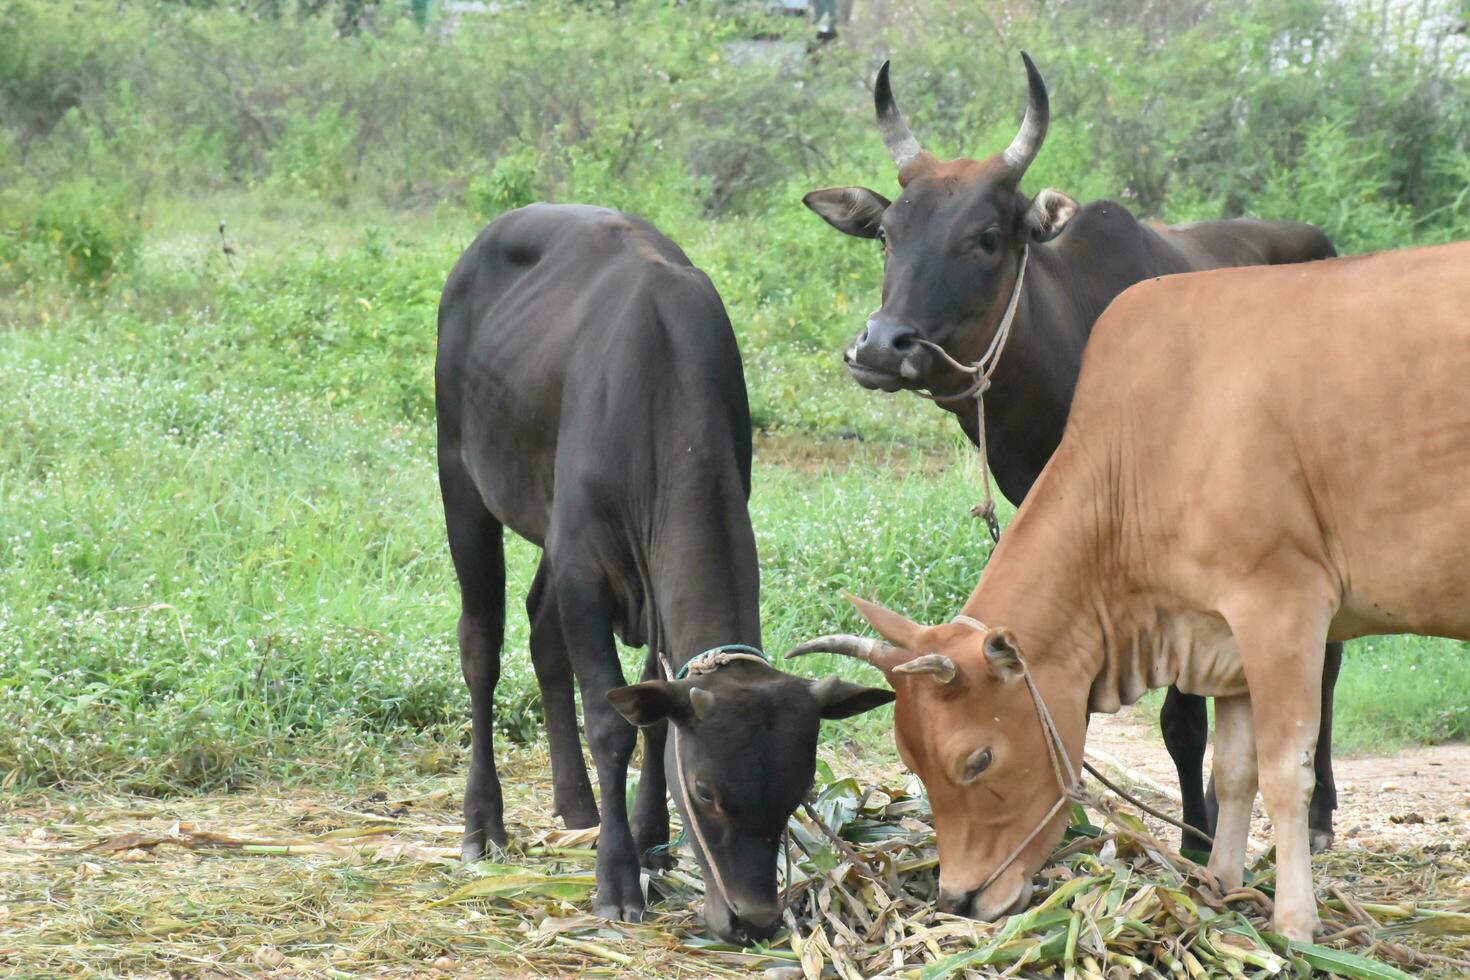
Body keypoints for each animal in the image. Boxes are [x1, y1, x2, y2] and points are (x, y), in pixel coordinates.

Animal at [432, 201, 893, 940]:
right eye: (705, 791)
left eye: (798, 790)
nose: (754, 919)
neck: (658, 388)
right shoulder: (585, 570)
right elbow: (612, 720)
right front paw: (618, 877)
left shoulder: (631, 584)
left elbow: (653, 708)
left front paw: (649, 837)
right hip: (462, 481)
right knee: (482, 645)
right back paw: (484, 823)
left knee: (540, 631)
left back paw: (576, 804)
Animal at [793, 239, 1470, 940]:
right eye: (910, 760)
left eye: (978, 759)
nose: (958, 898)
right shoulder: (1224, 634)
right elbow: (1235, 770)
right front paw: (1220, 889)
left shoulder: (1282, 608)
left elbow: (1286, 772)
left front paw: (1293, 924)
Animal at [805, 53, 1346, 852]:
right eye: (887, 234)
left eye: (986, 235)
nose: (879, 346)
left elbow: (1181, 716)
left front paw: (1196, 839)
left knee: (1328, 658)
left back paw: (1316, 813)